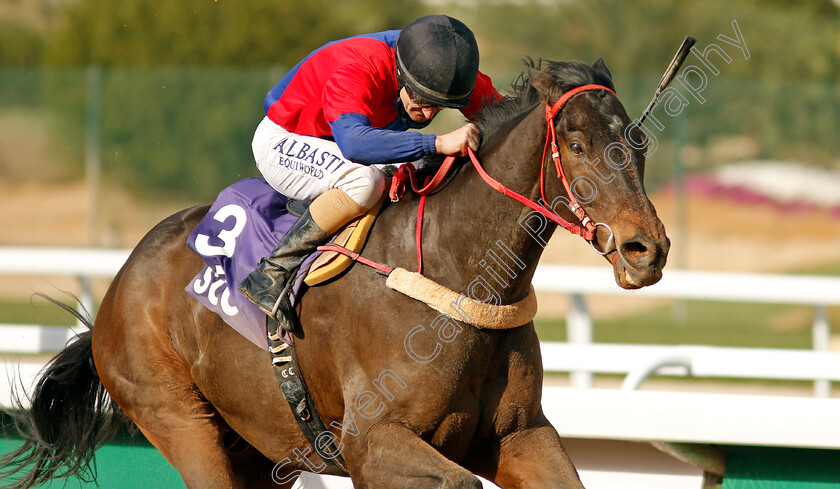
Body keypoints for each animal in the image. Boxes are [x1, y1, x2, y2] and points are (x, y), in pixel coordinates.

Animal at [1, 58, 668, 488]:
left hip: (259, 449)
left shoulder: (520, 435)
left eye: (638, 144)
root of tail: (117, 288)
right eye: (577, 146)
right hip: (177, 417)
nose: (648, 250)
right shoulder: (371, 441)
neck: (459, 273)